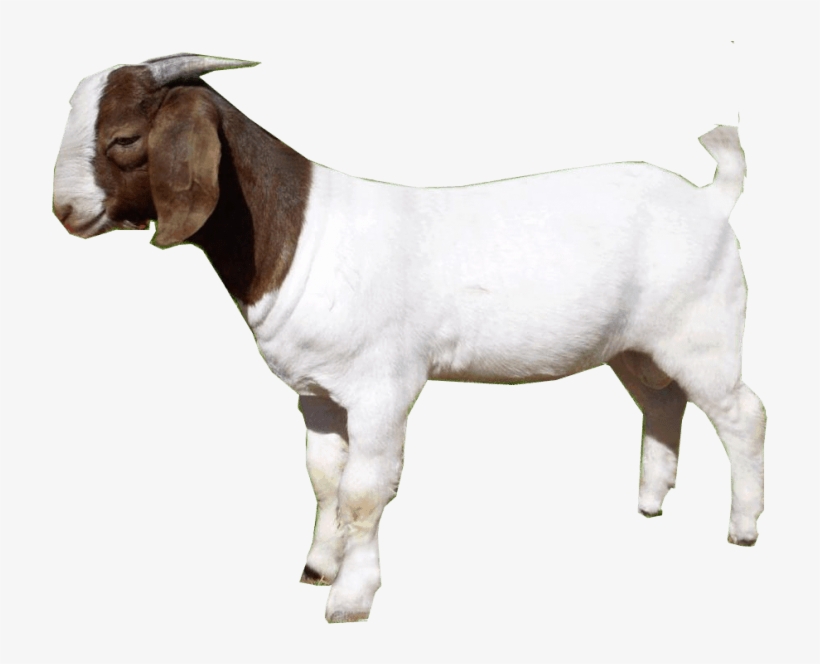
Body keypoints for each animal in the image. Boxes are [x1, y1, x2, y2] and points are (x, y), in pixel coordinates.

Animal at [53, 53, 766, 623]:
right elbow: (324, 480)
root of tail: (713, 199)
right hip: (636, 347)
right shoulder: (317, 395)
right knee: (662, 401)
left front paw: (350, 599)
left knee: (742, 414)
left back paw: (743, 528)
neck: (300, 232)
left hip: (703, 333)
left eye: (124, 137)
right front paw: (318, 568)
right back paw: (650, 502)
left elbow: (365, 492)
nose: (63, 210)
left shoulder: (382, 389)